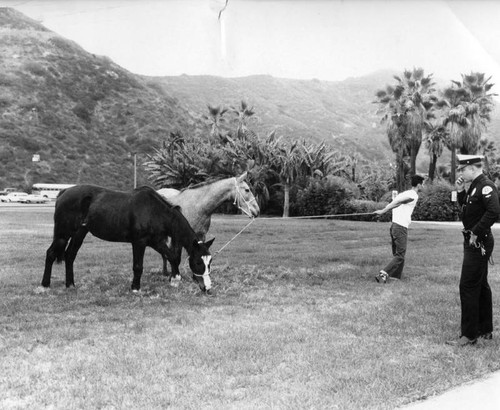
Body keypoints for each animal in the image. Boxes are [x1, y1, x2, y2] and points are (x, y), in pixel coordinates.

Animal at [41, 184, 215, 294]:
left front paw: (175, 280)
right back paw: (44, 286)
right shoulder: (139, 242)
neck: (154, 211)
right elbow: (138, 266)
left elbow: (172, 256)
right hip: (63, 234)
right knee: (50, 253)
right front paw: (135, 288)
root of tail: (63, 192)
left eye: (209, 261)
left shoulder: (156, 241)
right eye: (198, 262)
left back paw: (70, 285)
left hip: (79, 233)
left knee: (70, 256)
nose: (207, 288)